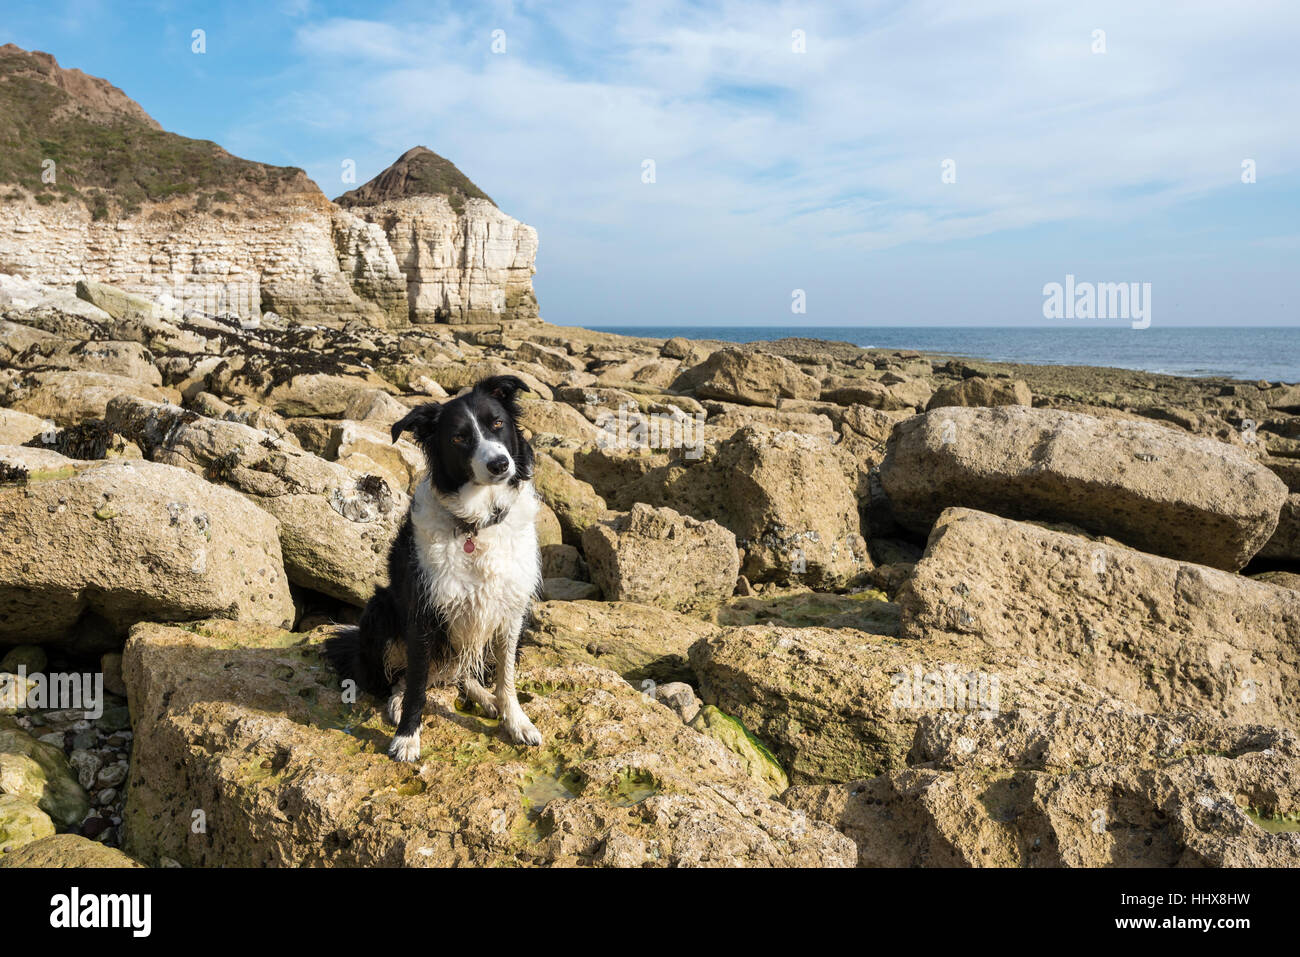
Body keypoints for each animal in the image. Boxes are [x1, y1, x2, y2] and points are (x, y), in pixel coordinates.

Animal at [330, 374, 548, 764]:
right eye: (459, 438)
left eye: (497, 424)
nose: (499, 464)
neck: (477, 523)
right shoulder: (424, 612)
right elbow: (416, 685)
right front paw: (407, 738)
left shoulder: (511, 610)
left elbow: (506, 676)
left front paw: (516, 720)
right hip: (380, 610)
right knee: (398, 680)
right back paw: (397, 705)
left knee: (463, 672)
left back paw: (484, 698)